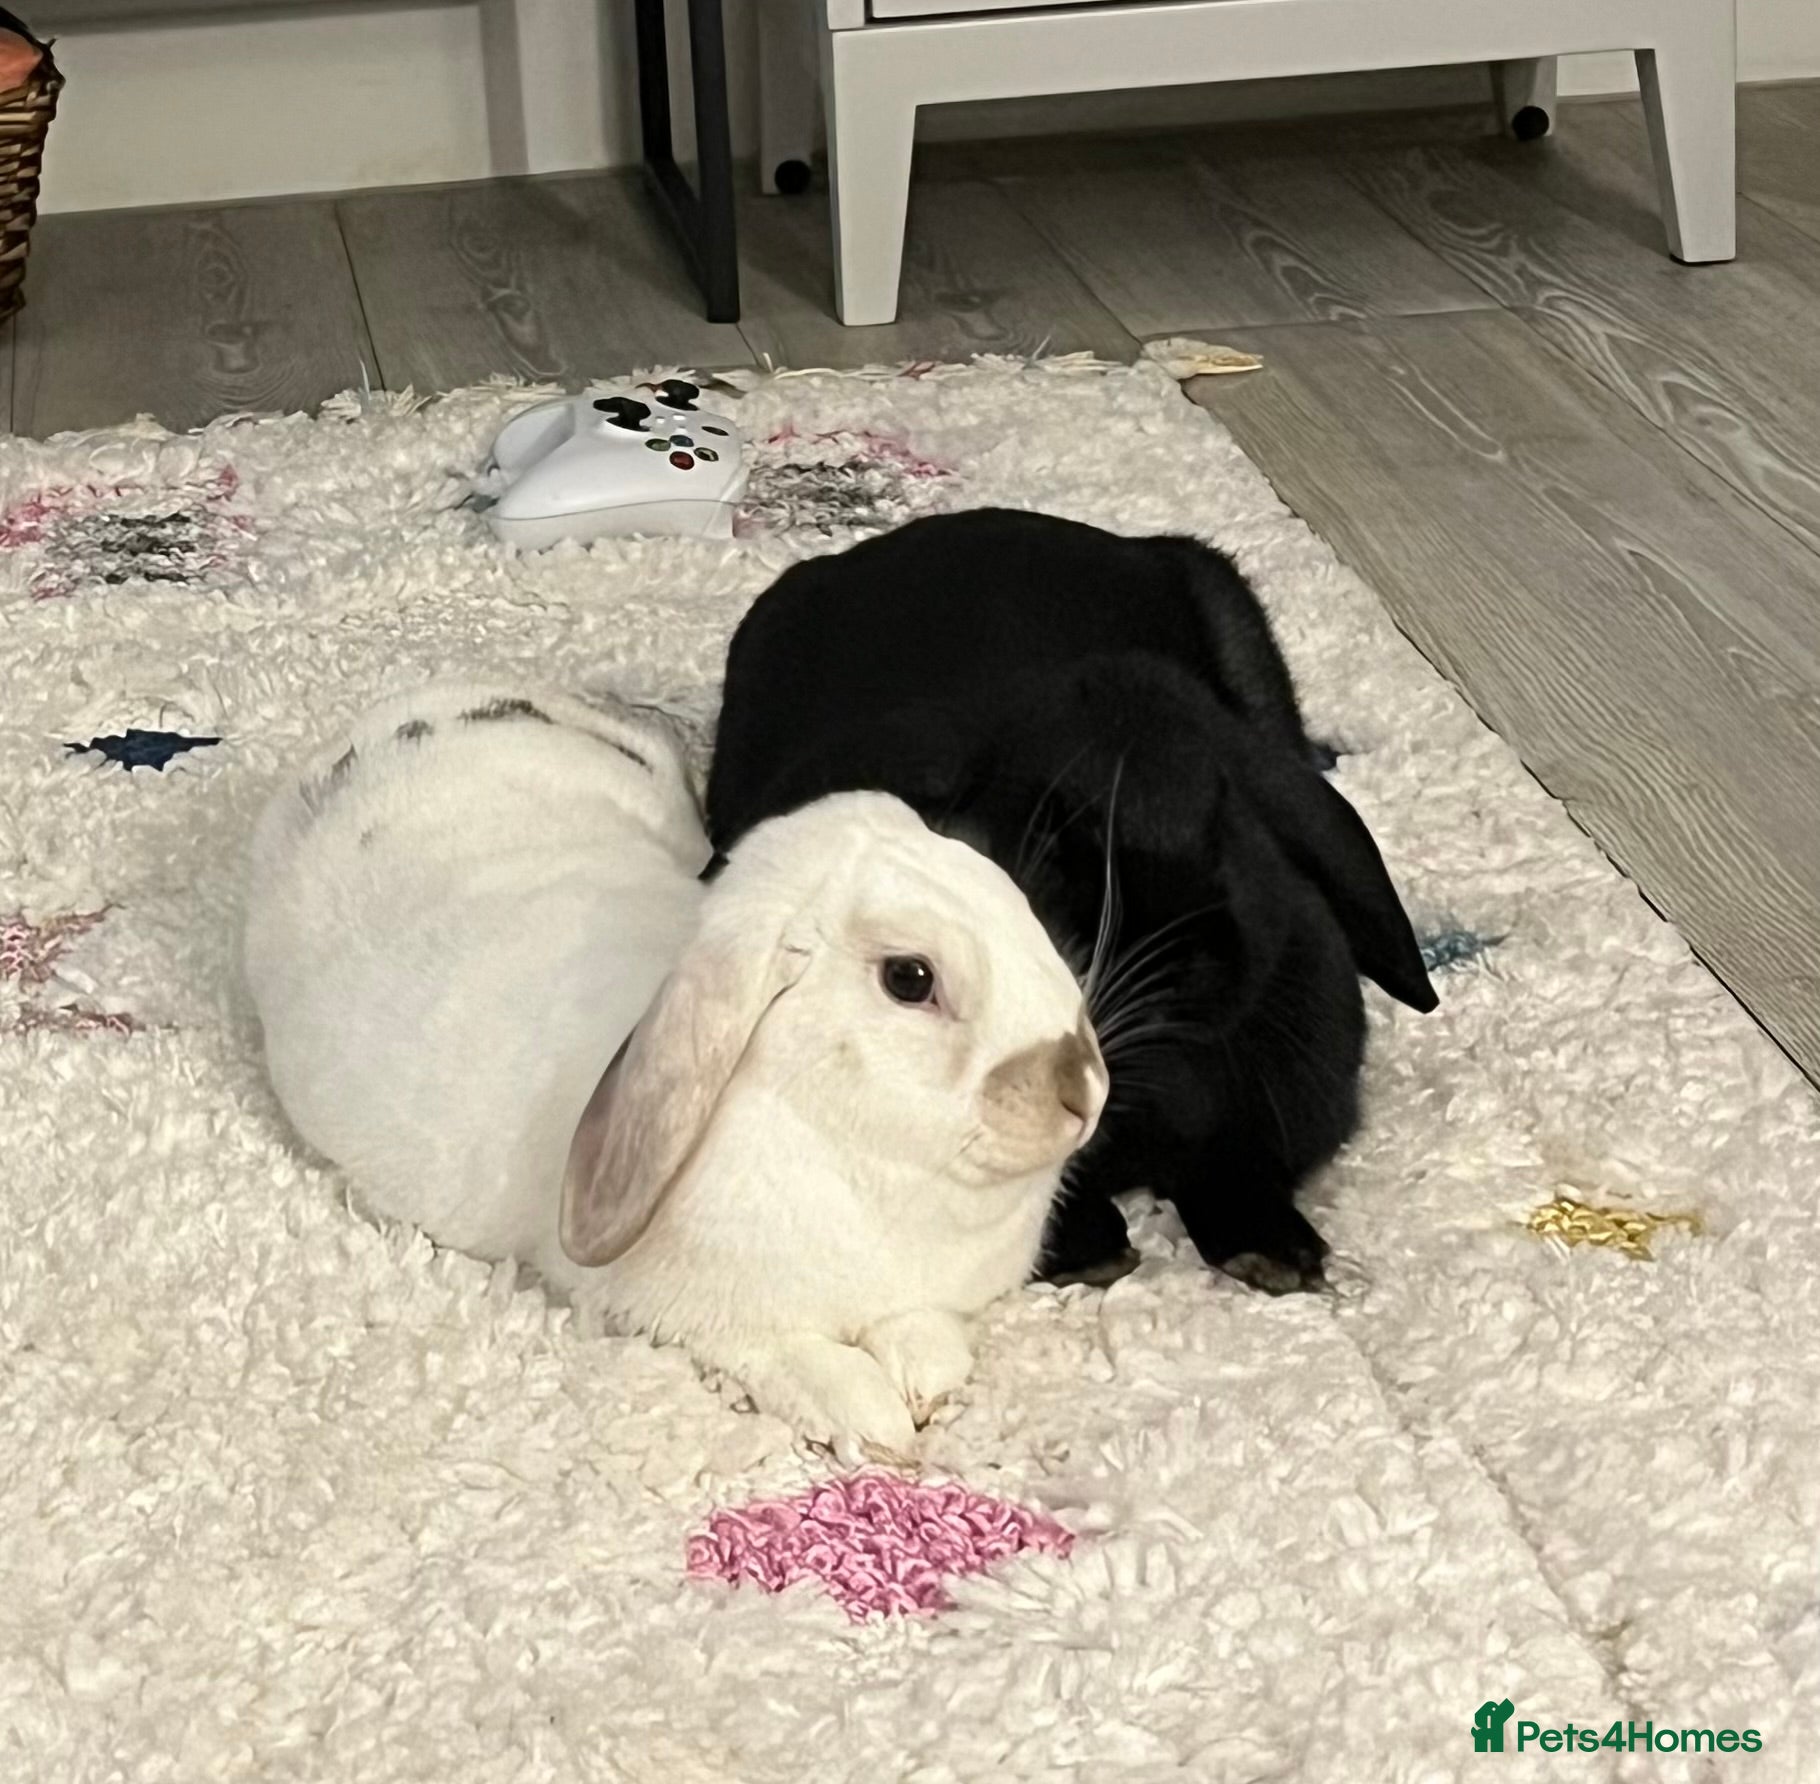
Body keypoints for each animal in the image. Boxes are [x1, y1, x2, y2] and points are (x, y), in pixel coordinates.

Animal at [244, 680, 1107, 1450]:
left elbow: (922, 1333)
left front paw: (926, 1385)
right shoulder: (708, 1322)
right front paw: (878, 1424)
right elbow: (799, 1362)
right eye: (910, 978)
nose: (1086, 1089)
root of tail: (406, 714)